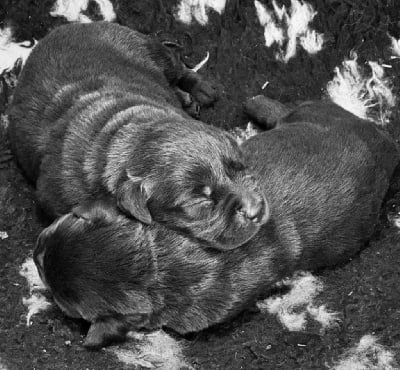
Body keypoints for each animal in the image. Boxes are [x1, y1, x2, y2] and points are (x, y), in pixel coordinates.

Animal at [7, 21, 268, 250]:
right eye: (200, 202)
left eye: (239, 166)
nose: (256, 209)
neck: (123, 136)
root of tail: (73, 26)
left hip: (153, 51)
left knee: (178, 68)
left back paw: (202, 90)